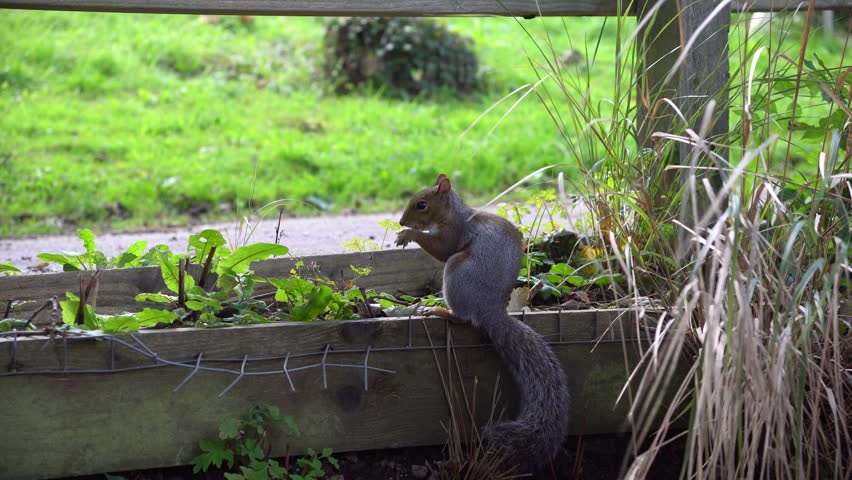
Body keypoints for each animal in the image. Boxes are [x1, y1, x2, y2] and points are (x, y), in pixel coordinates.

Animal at [395, 173, 569, 473]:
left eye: (422, 204)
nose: (401, 223)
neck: (454, 213)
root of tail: (490, 310)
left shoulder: (453, 235)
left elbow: (441, 249)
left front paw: (410, 236)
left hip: (456, 271)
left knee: (465, 317)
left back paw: (439, 311)